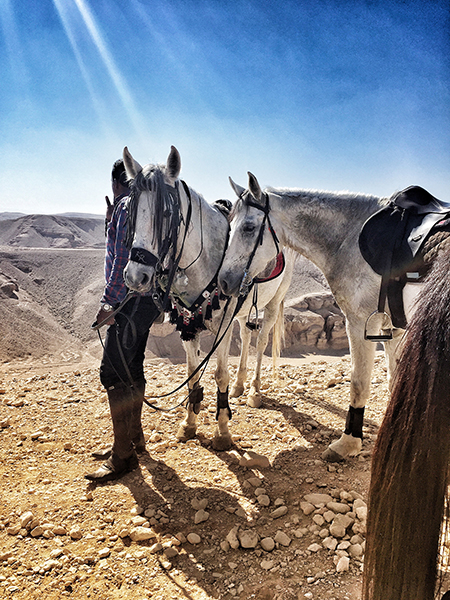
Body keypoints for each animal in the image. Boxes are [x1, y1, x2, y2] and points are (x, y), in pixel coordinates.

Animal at [121, 149, 296, 450]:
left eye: (166, 213)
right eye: (131, 211)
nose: (135, 276)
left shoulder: (220, 325)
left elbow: (219, 374)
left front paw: (222, 432)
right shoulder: (188, 324)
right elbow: (192, 373)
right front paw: (189, 424)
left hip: (274, 303)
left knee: (261, 342)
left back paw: (254, 391)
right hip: (241, 310)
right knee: (245, 335)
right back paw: (239, 385)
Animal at [218, 171, 428, 462]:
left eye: (249, 227)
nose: (223, 281)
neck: (351, 240)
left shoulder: (362, 323)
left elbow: (359, 383)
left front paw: (348, 443)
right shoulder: (394, 329)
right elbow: (394, 378)